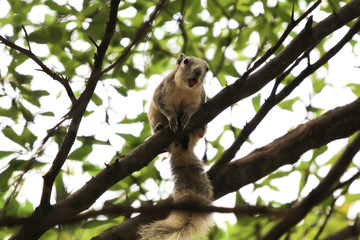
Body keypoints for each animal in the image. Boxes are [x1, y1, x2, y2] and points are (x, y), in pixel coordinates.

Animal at [139, 53, 214, 239]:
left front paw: (186, 114)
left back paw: (199, 128)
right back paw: (160, 128)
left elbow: (194, 108)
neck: (185, 89)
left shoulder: (200, 98)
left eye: (207, 68)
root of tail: (182, 146)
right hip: (154, 117)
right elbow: (163, 106)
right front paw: (172, 118)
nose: (198, 71)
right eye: (186, 61)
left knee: (200, 133)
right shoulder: (161, 92)